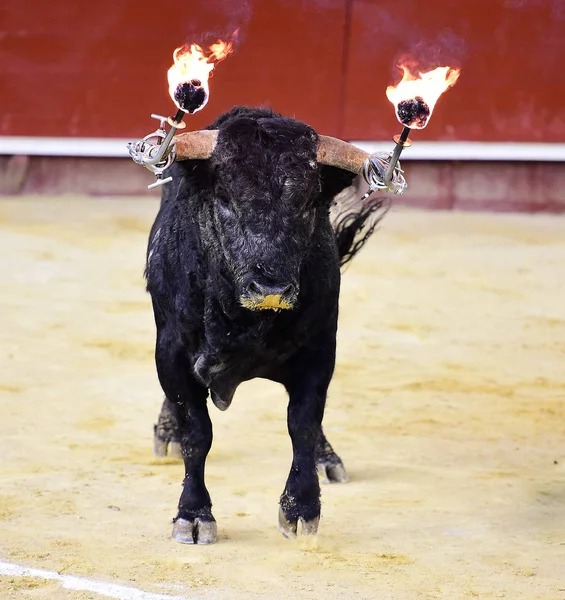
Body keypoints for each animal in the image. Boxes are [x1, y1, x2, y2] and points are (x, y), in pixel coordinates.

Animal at [145, 105, 386, 540]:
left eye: (308, 203)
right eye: (225, 198)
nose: (270, 286)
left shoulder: (320, 350)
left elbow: (303, 423)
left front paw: (302, 507)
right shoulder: (171, 351)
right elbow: (197, 433)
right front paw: (194, 514)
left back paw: (328, 460)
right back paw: (166, 434)